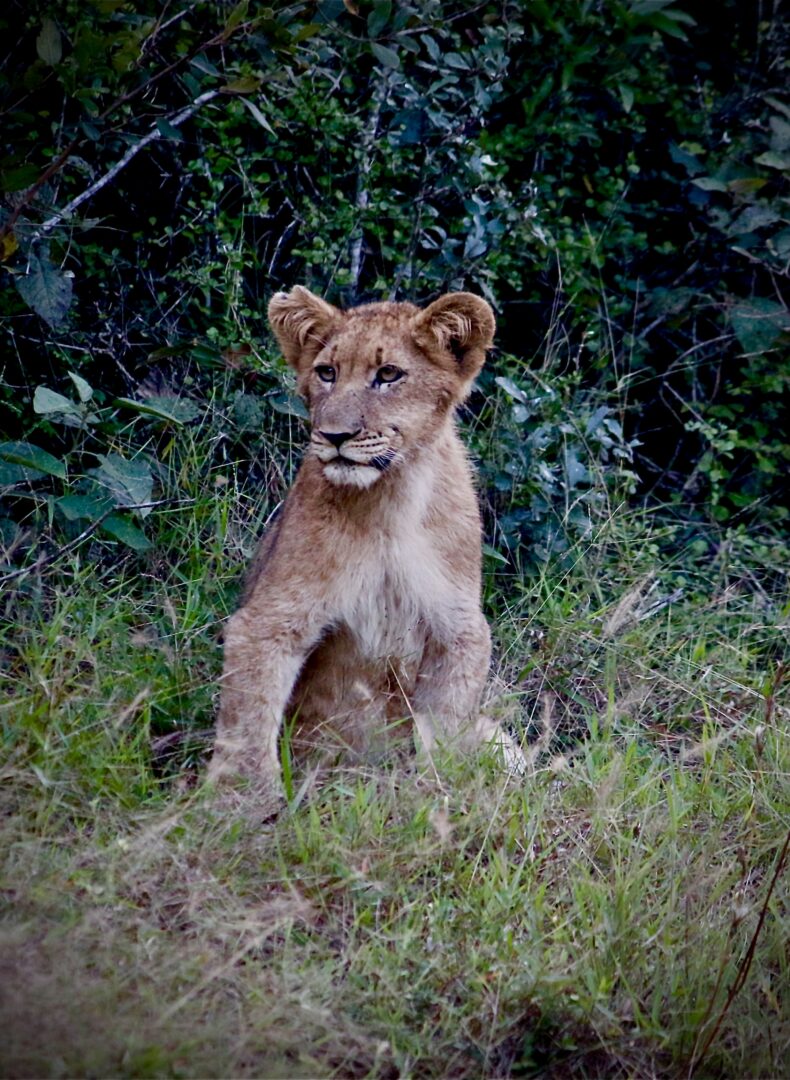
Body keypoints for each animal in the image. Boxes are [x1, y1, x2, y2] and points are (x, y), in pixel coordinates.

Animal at [209, 286, 518, 805]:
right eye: (327, 372)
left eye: (388, 374)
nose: (335, 436)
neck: (391, 502)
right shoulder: (270, 620)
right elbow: (248, 722)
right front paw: (248, 808)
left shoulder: (460, 627)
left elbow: (446, 727)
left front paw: (435, 796)